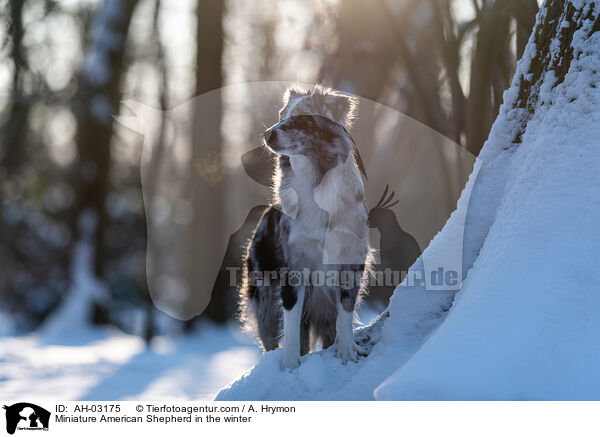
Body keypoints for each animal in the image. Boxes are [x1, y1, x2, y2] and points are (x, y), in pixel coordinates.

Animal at [239, 86, 370, 368]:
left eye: (301, 118)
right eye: (281, 115)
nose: (266, 134)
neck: (315, 181)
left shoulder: (351, 261)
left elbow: (345, 313)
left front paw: (347, 352)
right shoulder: (294, 269)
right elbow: (290, 328)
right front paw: (290, 366)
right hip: (265, 303)